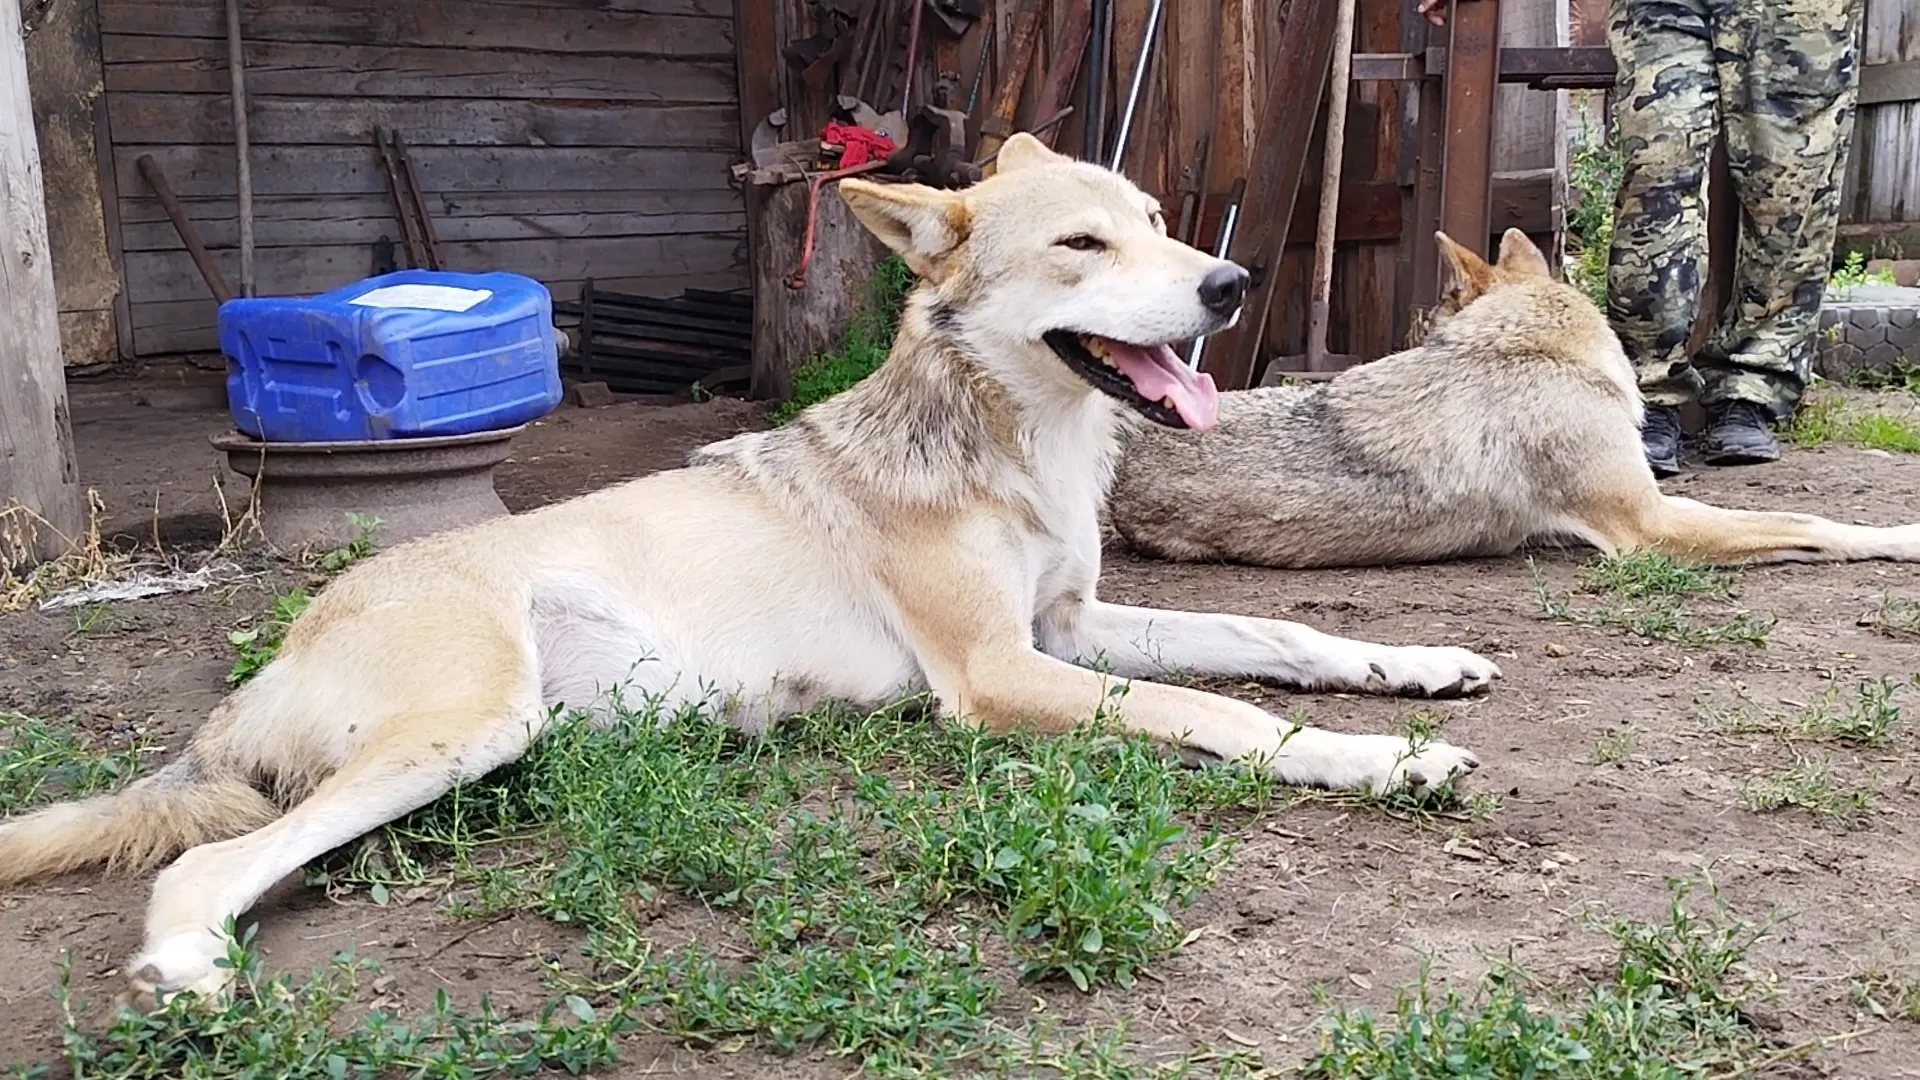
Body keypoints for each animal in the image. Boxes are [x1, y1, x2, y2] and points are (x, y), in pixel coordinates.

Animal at [0, 134, 1489, 999]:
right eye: (1083, 245)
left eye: (1160, 218)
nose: (1231, 285)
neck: (1021, 449)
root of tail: (267, 669)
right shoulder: (999, 675)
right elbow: (1220, 710)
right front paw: (1379, 763)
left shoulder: (1068, 627)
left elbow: (1280, 640)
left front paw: (1414, 671)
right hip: (471, 724)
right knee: (214, 861)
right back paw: (186, 963)